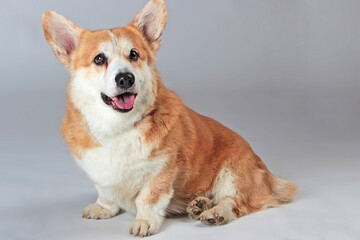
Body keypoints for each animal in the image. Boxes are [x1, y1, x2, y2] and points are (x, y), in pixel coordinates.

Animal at [41, 0, 296, 236]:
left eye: (134, 55)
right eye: (99, 59)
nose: (126, 78)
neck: (120, 127)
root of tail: (266, 173)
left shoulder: (161, 170)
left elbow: (148, 199)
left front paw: (144, 222)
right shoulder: (99, 174)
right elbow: (105, 191)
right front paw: (104, 207)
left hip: (234, 174)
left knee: (237, 202)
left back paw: (216, 213)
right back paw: (199, 204)